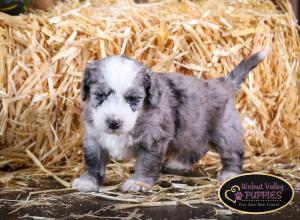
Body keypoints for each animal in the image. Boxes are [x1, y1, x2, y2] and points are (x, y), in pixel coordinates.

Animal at [72, 47, 270, 191]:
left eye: (133, 99)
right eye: (100, 95)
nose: (113, 122)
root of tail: (222, 83)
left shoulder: (153, 140)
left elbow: (146, 163)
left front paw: (139, 182)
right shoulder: (93, 138)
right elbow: (94, 161)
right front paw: (88, 181)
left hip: (226, 131)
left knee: (233, 153)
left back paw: (229, 174)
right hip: (193, 130)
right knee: (198, 148)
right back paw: (178, 162)